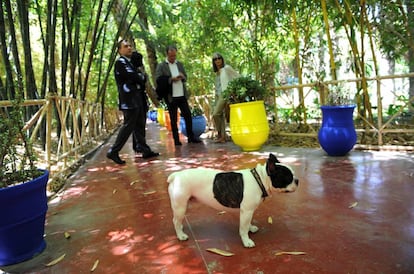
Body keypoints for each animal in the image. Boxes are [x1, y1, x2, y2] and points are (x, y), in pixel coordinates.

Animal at [167, 153, 300, 247]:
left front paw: (251, 228)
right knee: (175, 221)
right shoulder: (246, 211)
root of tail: (176, 175)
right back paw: (181, 235)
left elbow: (247, 223)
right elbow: (243, 228)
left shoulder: (248, 212)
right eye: (288, 177)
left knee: (177, 220)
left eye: (293, 174)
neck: (260, 179)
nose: (297, 180)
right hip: (180, 206)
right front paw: (246, 241)